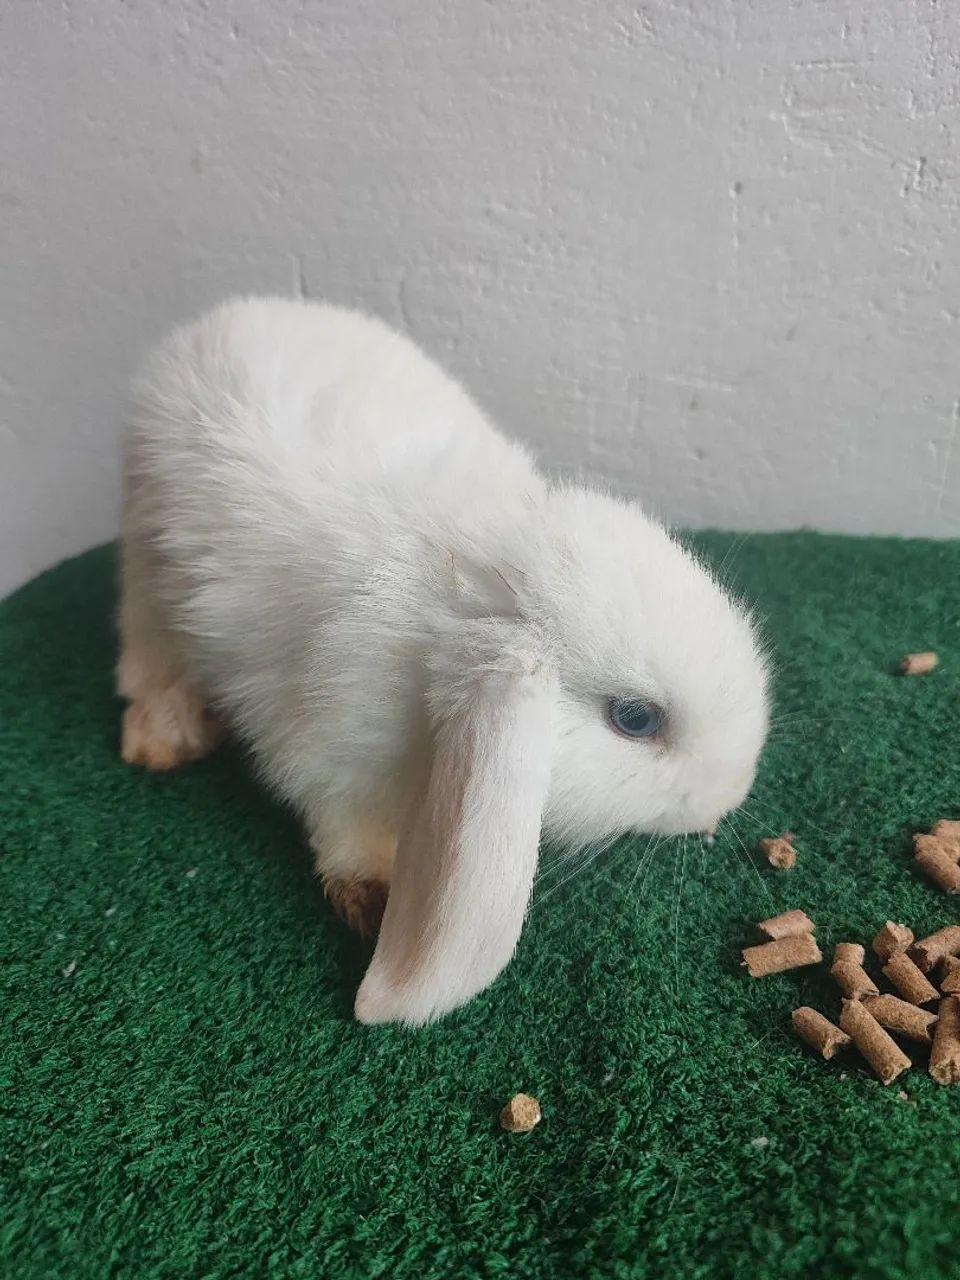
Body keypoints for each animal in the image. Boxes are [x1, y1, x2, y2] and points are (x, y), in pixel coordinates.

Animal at [118, 296, 770, 1026]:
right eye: (635, 718)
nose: (730, 795)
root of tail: (231, 312)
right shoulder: (329, 753)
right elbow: (341, 827)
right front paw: (373, 900)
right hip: (145, 546)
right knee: (146, 643)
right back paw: (161, 736)